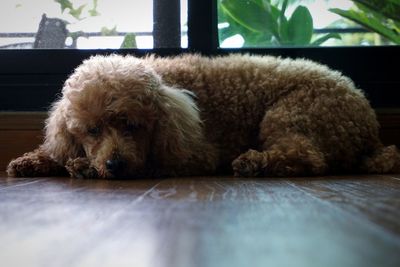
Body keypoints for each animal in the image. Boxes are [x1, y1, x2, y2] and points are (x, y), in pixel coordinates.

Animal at [7, 53, 400, 179]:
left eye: (132, 126)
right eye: (91, 130)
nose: (115, 165)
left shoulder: (197, 153)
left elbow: (155, 163)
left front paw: (83, 166)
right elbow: (55, 151)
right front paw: (33, 161)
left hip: (292, 113)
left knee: (308, 157)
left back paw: (253, 163)